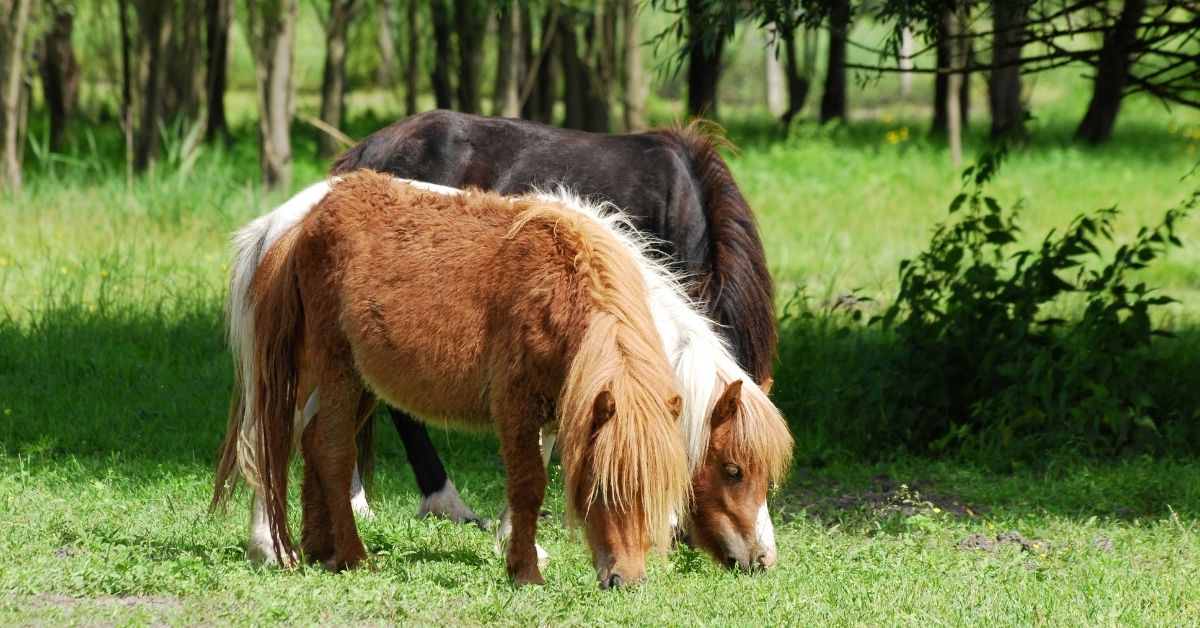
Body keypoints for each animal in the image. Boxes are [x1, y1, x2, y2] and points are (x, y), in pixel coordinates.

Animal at [216, 172, 686, 590]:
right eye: (602, 487)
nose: (626, 580)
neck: (556, 294)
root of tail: (303, 222)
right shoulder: (516, 406)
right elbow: (528, 485)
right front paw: (525, 572)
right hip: (334, 371)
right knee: (322, 450)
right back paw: (346, 556)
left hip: (363, 383)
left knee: (312, 442)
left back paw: (320, 551)